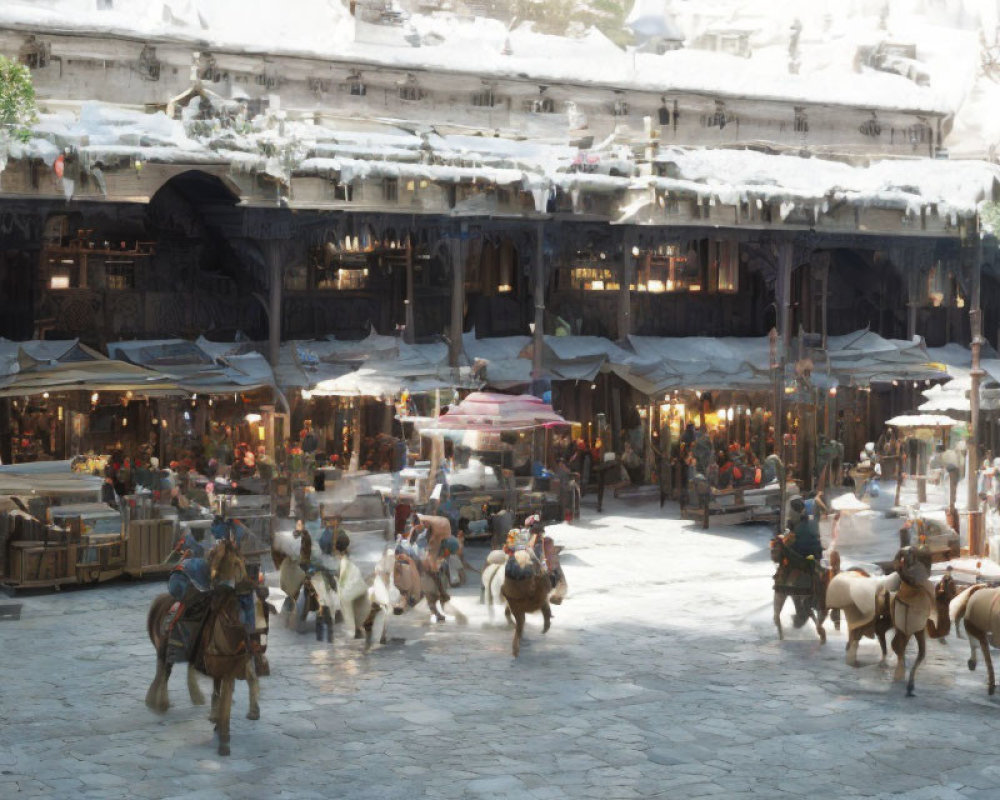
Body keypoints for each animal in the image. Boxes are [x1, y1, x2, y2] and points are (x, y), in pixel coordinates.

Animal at [147, 536, 260, 756]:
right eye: (237, 562)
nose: (249, 585)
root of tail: (163, 602)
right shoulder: (224, 667)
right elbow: (224, 697)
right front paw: (223, 737)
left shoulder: (235, 664)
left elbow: (242, 684)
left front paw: (247, 714)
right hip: (166, 650)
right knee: (164, 672)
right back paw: (160, 702)